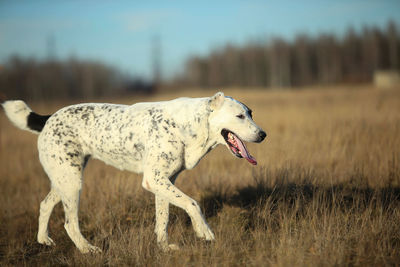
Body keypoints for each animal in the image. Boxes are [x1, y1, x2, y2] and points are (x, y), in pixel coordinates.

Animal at [2, 92, 268, 253]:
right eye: (239, 116)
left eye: (251, 113)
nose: (263, 134)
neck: (190, 125)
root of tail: (47, 118)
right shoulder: (154, 180)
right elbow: (193, 204)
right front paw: (204, 232)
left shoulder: (164, 182)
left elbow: (163, 218)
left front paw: (164, 247)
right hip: (72, 182)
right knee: (69, 223)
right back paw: (87, 249)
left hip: (65, 179)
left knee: (45, 204)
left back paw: (43, 240)